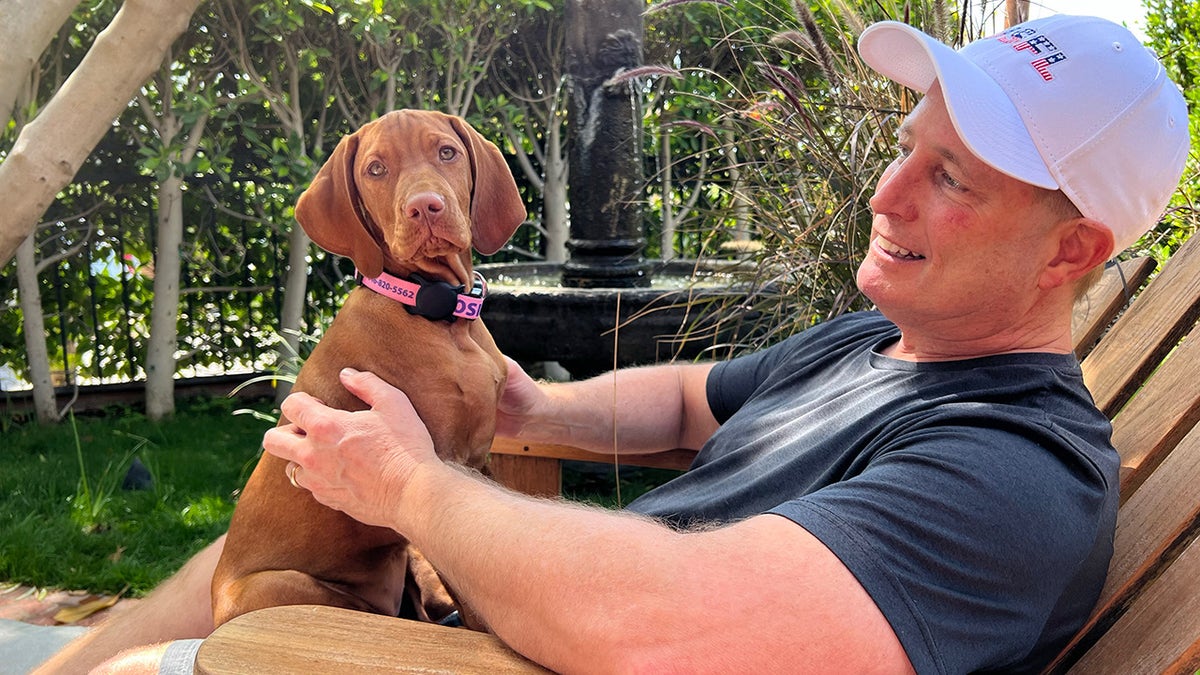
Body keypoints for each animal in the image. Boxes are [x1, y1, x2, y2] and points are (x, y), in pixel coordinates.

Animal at [210, 109, 525, 624]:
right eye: (376, 169)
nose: (425, 207)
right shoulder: (440, 470)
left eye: (447, 152)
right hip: (288, 587)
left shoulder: (479, 461)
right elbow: (475, 600)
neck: (435, 314)